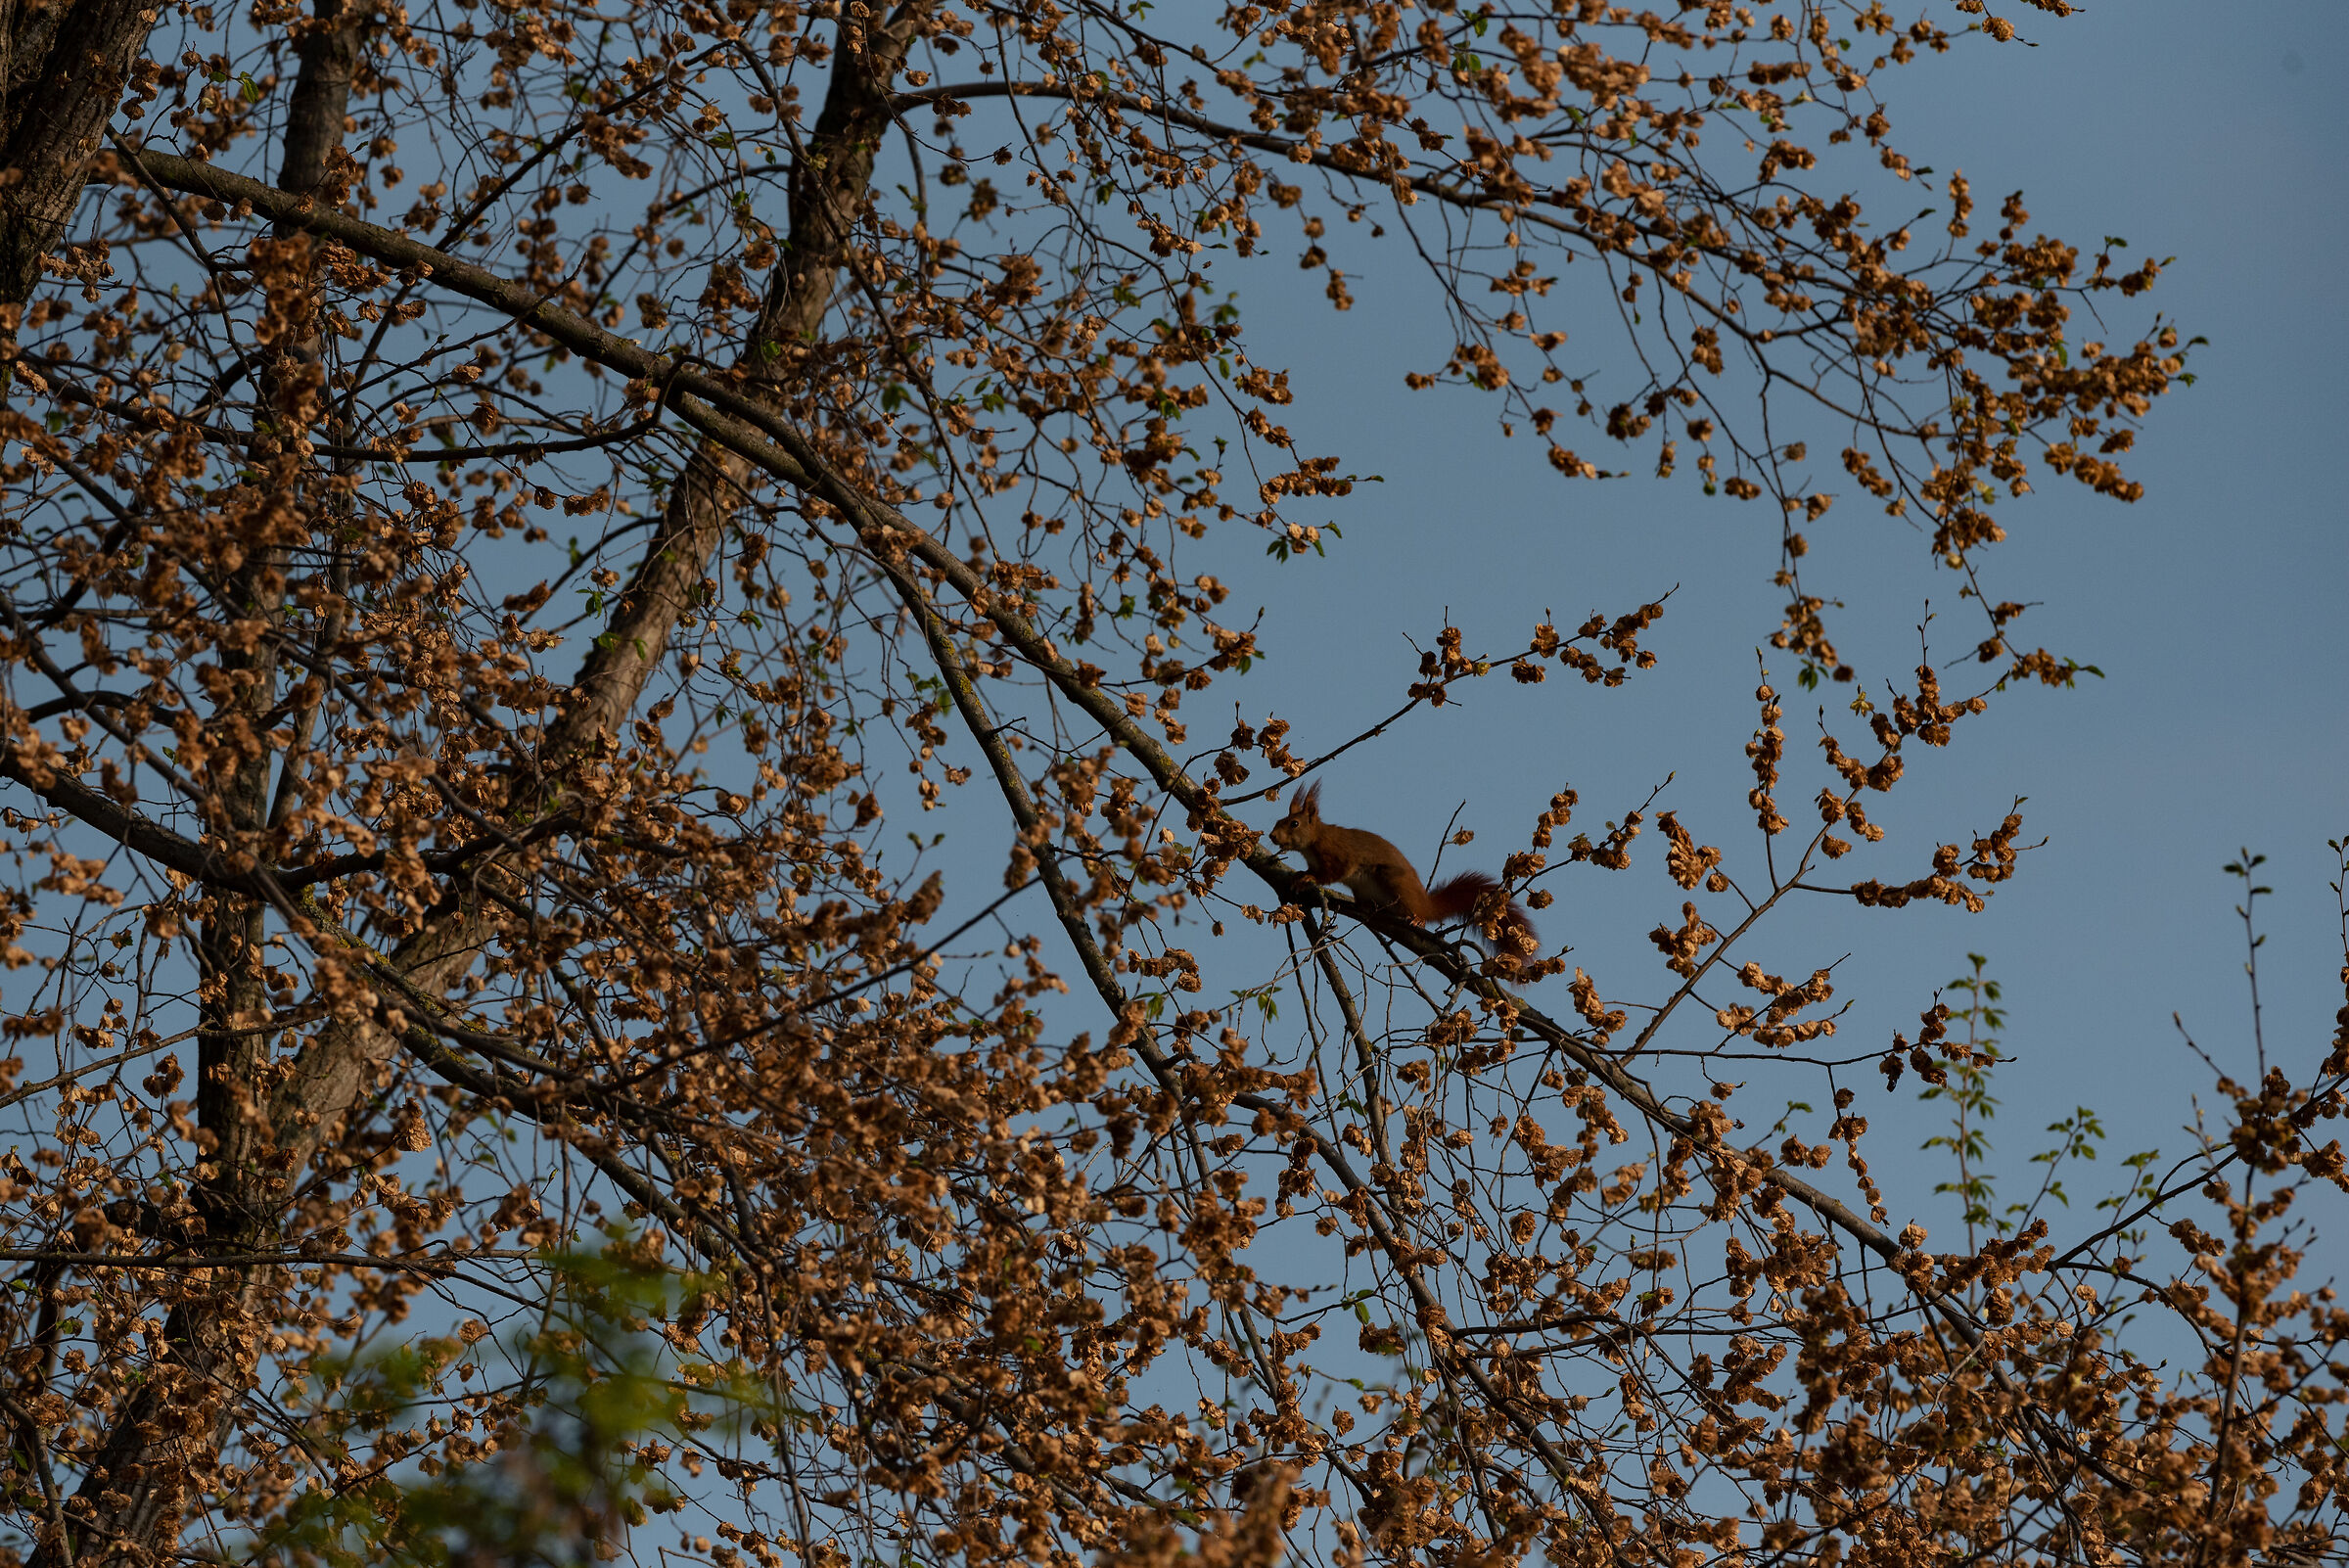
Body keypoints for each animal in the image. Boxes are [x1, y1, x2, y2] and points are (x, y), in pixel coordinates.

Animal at [1270, 783, 1537, 962]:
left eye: (1294, 823)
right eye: (1278, 821)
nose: (1272, 836)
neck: (1315, 840)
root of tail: (1425, 902)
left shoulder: (1339, 855)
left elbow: (1333, 872)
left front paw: (1309, 878)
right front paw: (1299, 876)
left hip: (1393, 880)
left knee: (1416, 912)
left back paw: (1417, 918)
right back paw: (1367, 908)